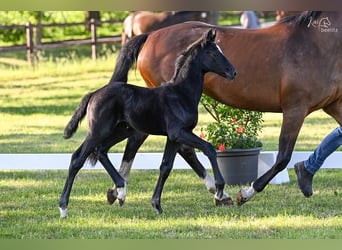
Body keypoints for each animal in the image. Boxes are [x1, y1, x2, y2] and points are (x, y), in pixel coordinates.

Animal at [58, 28, 236, 217]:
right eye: (213, 53)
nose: (233, 72)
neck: (181, 94)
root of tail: (94, 93)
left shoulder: (174, 137)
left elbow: (166, 166)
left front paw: (156, 204)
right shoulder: (179, 132)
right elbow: (209, 148)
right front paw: (219, 190)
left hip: (120, 130)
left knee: (99, 151)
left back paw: (120, 190)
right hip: (98, 131)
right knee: (77, 159)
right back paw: (64, 207)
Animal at [109, 11, 342, 205]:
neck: (317, 45)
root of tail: (151, 35)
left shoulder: (333, 105)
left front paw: (305, 177)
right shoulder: (295, 108)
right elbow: (283, 157)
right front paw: (245, 193)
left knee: (141, 138)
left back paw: (118, 191)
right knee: (172, 145)